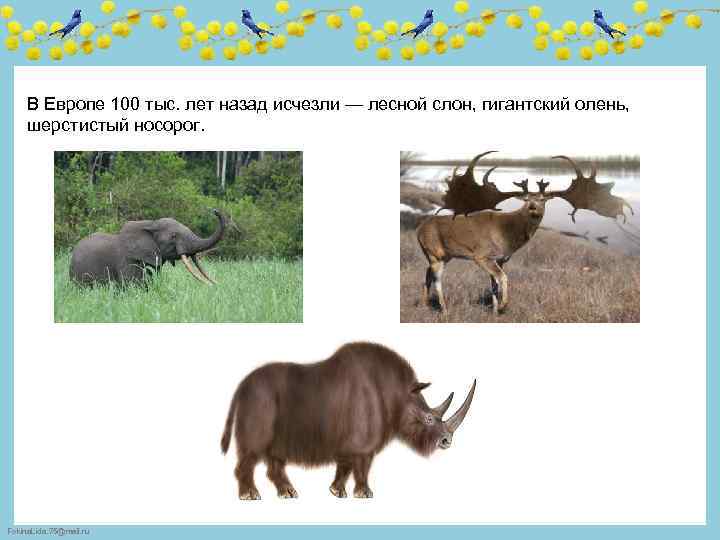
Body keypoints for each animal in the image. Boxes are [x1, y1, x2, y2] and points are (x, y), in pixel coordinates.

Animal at [416, 151, 633, 314]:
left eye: (543, 199)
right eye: (527, 199)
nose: (533, 207)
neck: (508, 235)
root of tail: (419, 229)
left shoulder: (501, 258)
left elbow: (494, 284)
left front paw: (495, 311)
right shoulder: (482, 255)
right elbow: (502, 278)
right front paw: (504, 305)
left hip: (444, 255)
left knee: (426, 276)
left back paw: (426, 304)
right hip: (435, 253)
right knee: (437, 280)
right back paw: (444, 310)